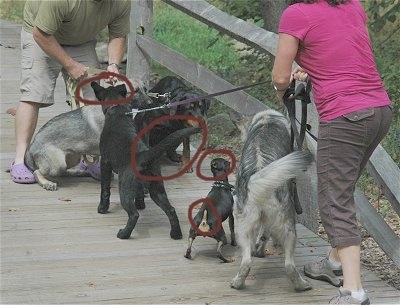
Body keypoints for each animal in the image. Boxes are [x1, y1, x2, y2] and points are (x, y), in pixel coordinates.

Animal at [92, 82, 202, 239]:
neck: (118, 111)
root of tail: (145, 155)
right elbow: (139, 195)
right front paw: (141, 204)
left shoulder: (105, 163)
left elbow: (105, 190)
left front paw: (102, 208)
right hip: (157, 190)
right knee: (171, 210)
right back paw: (175, 234)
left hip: (125, 189)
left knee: (134, 215)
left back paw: (123, 234)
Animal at [230, 108, 314, 290]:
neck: (266, 118)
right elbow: (266, 234)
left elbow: (262, 236)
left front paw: (259, 250)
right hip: (289, 226)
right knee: (289, 264)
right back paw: (301, 285)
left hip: (243, 229)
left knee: (247, 262)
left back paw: (238, 282)